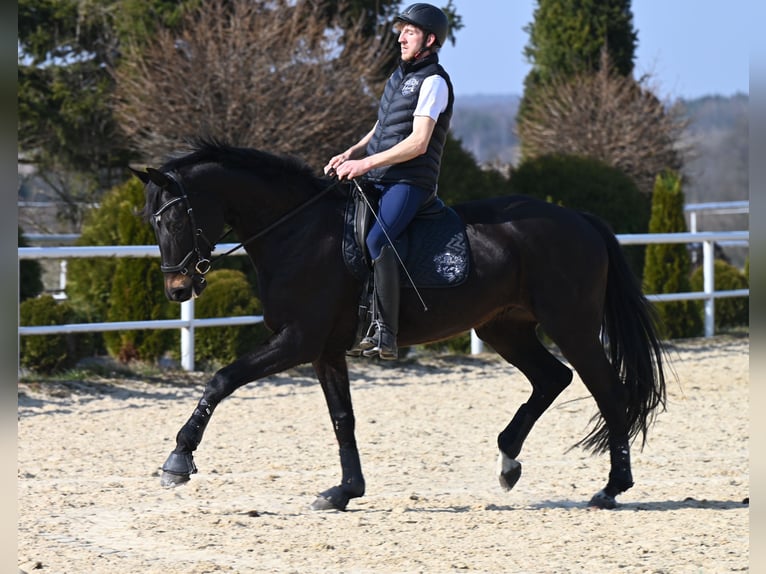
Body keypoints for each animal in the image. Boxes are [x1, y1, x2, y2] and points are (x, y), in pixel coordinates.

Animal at [135, 141, 668, 512]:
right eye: (152, 222)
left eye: (175, 217)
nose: (178, 289)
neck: (298, 232)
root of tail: (577, 218)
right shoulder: (324, 350)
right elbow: (342, 418)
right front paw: (345, 491)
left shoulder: (296, 341)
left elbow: (222, 379)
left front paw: (177, 461)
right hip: (504, 329)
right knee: (552, 378)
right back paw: (508, 461)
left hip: (571, 326)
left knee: (608, 390)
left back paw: (611, 488)